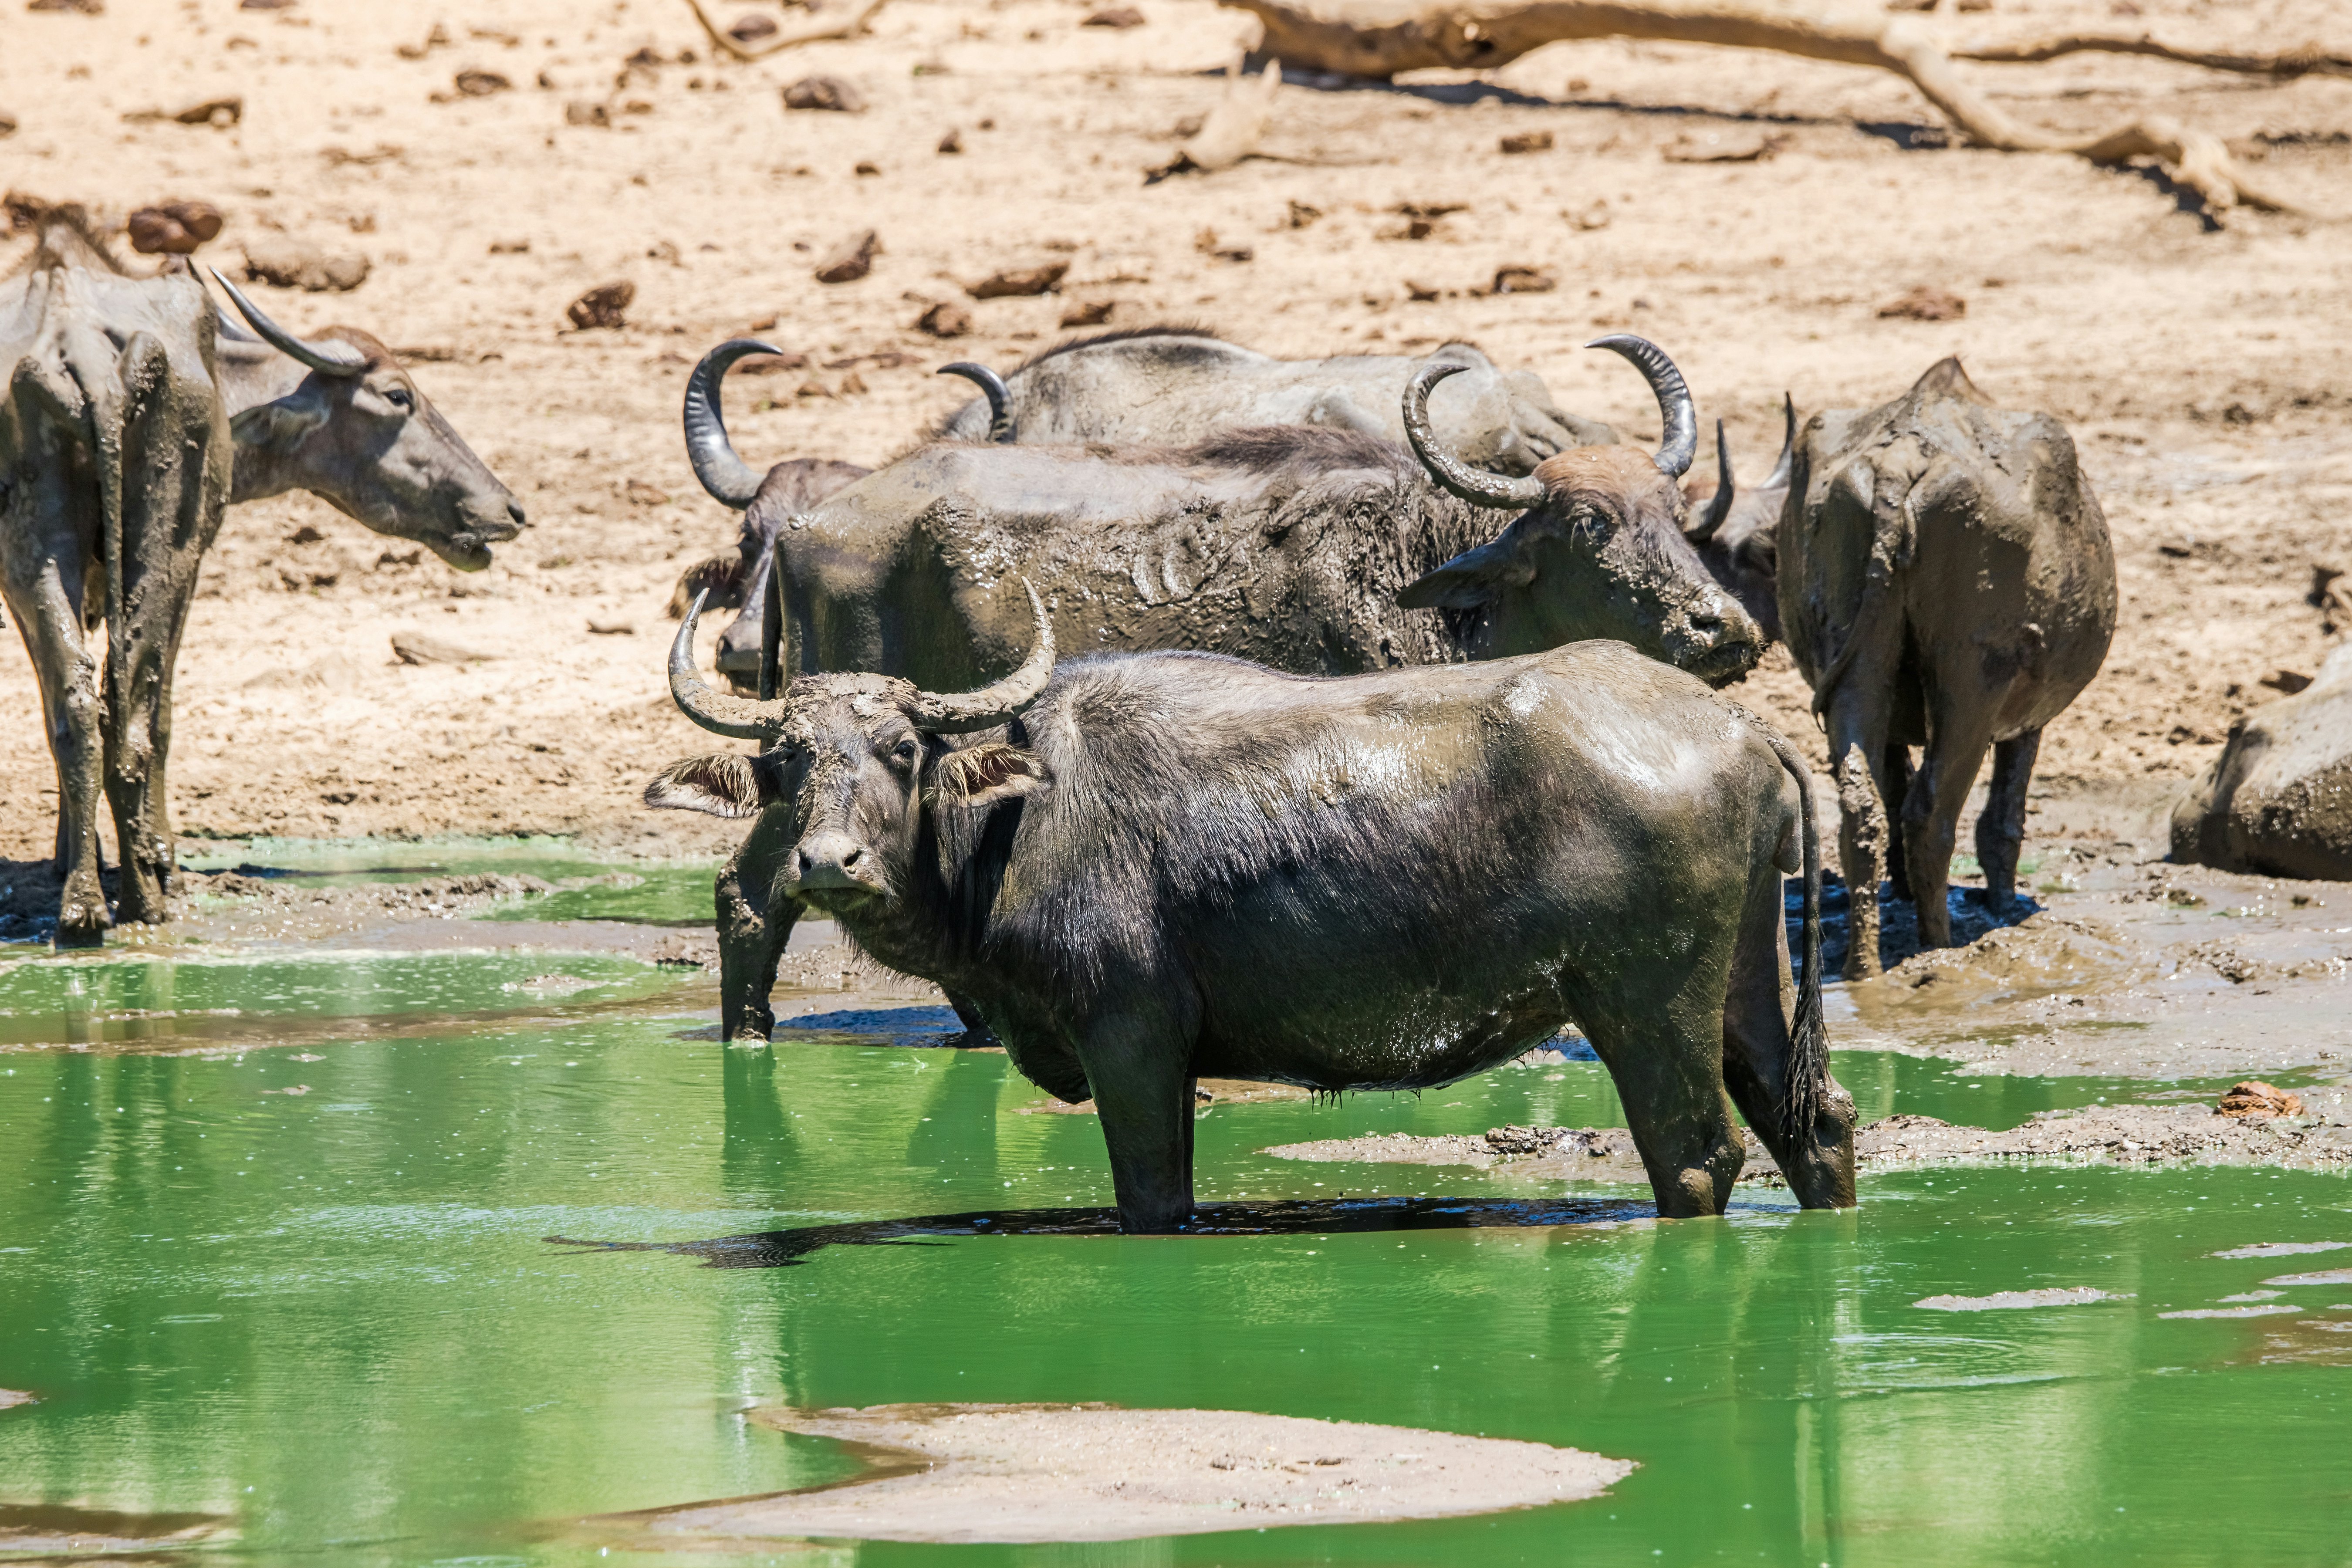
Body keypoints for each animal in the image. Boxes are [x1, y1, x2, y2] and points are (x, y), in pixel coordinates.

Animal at [648, 588, 1854, 1230]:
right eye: (783, 765)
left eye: (902, 750)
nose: (828, 863)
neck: (1014, 826)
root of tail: (1736, 727)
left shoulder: (1132, 1039)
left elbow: (1152, 1199)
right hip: (1745, 981)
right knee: (1815, 1123)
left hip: (1643, 1005)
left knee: (1696, 1157)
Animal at [1779, 358, 2116, 977]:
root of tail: (1897, 465)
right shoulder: (2028, 721)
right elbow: (2003, 822)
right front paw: (2003, 905)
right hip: (1972, 684)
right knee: (1931, 816)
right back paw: (1936, 944)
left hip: (1857, 658)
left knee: (1863, 811)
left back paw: (1864, 964)